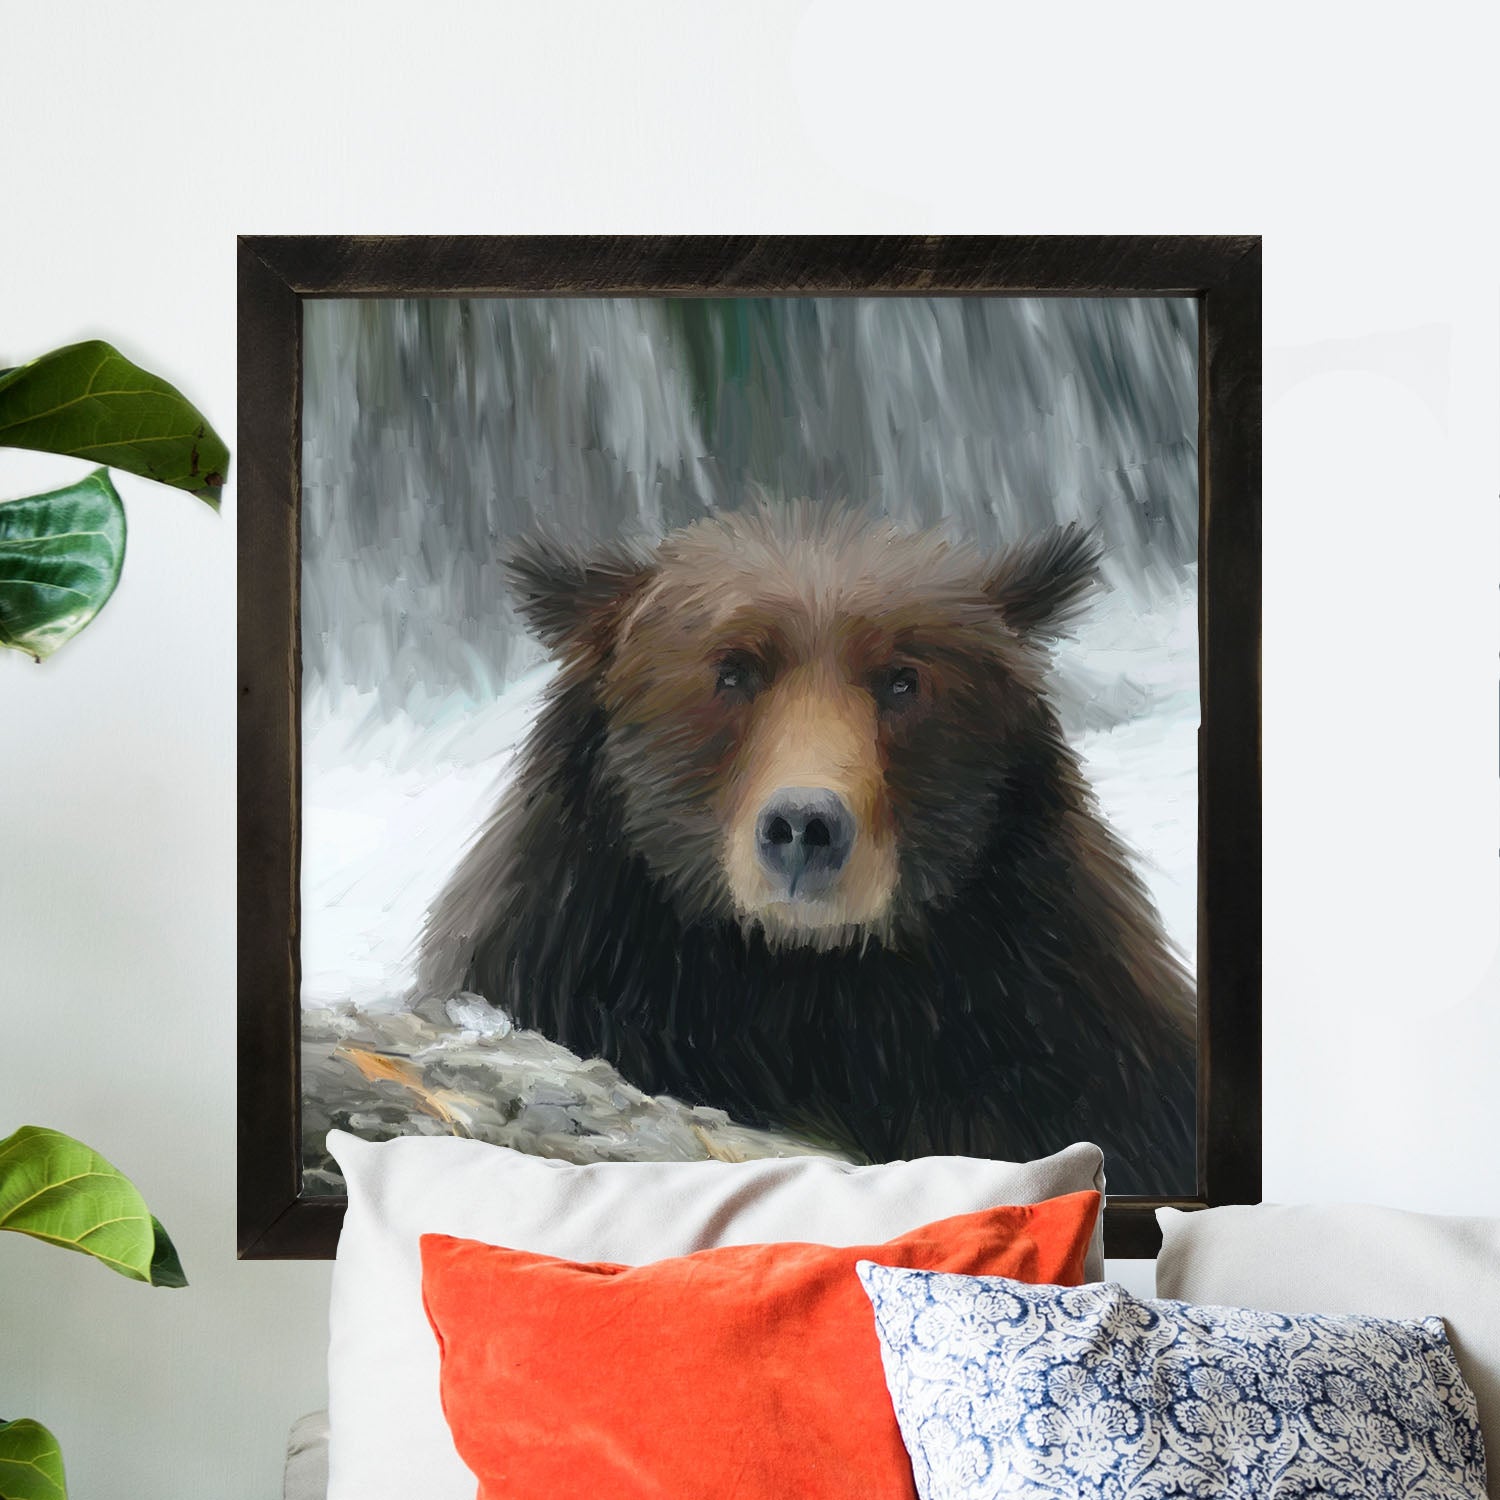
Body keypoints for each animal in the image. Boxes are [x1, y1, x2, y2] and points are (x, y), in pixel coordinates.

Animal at [418, 503, 1196, 1195]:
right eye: (733, 669)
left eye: (903, 679)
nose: (803, 826)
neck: (804, 986)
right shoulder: (571, 966)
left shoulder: (1060, 1035)